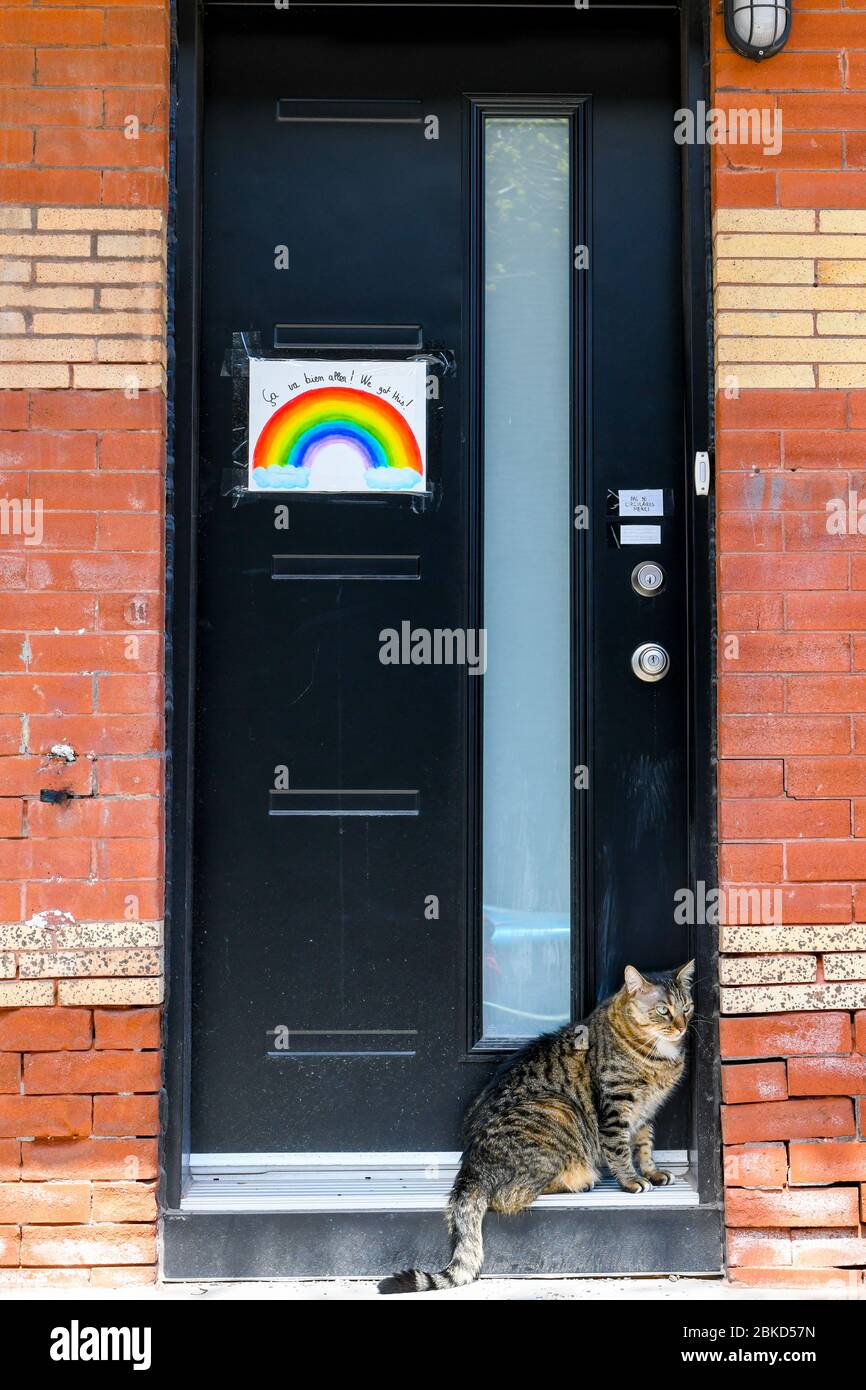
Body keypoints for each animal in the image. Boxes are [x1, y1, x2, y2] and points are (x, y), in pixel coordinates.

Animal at [380, 956, 697, 1289]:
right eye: (663, 1010)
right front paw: (631, 1179)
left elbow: (645, 1145)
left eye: (687, 1007)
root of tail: (472, 1166)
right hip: (560, 1108)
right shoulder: (616, 1107)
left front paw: (652, 1172)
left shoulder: (645, 1113)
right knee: (509, 1197)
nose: (682, 1026)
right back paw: (580, 1180)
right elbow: (620, 1150)